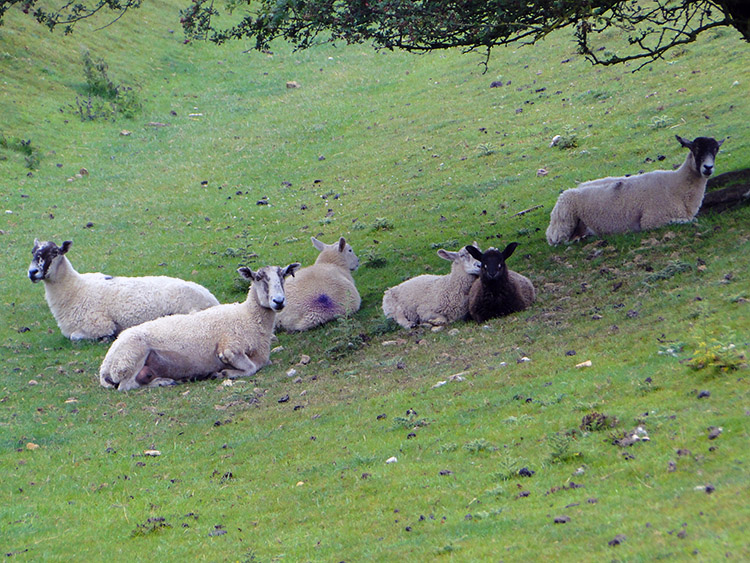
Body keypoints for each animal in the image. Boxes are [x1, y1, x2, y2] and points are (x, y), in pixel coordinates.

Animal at [27, 240, 220, 342]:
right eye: (33, 252)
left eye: (54, 252)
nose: (32, 272)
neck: (75, 288)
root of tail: (211, 298)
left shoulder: (99, 325)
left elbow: (76, 336)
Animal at [99, 264, 300, 392]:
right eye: (259, 278)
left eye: (283, 276)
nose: (279, 301)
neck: (247, 317)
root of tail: (104, 367)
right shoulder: (229, 349)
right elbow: (250, 368)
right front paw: (225, 373)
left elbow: (259, 364)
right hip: (130, 356)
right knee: (127, 386)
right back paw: (163, 382)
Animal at [548, 135, 728, 246]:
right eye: (695, 149)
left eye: (715, 150)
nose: (708, 168)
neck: (678, 185)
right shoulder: (653, 219)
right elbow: (691, 221)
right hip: (564, 219)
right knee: (556, 240)